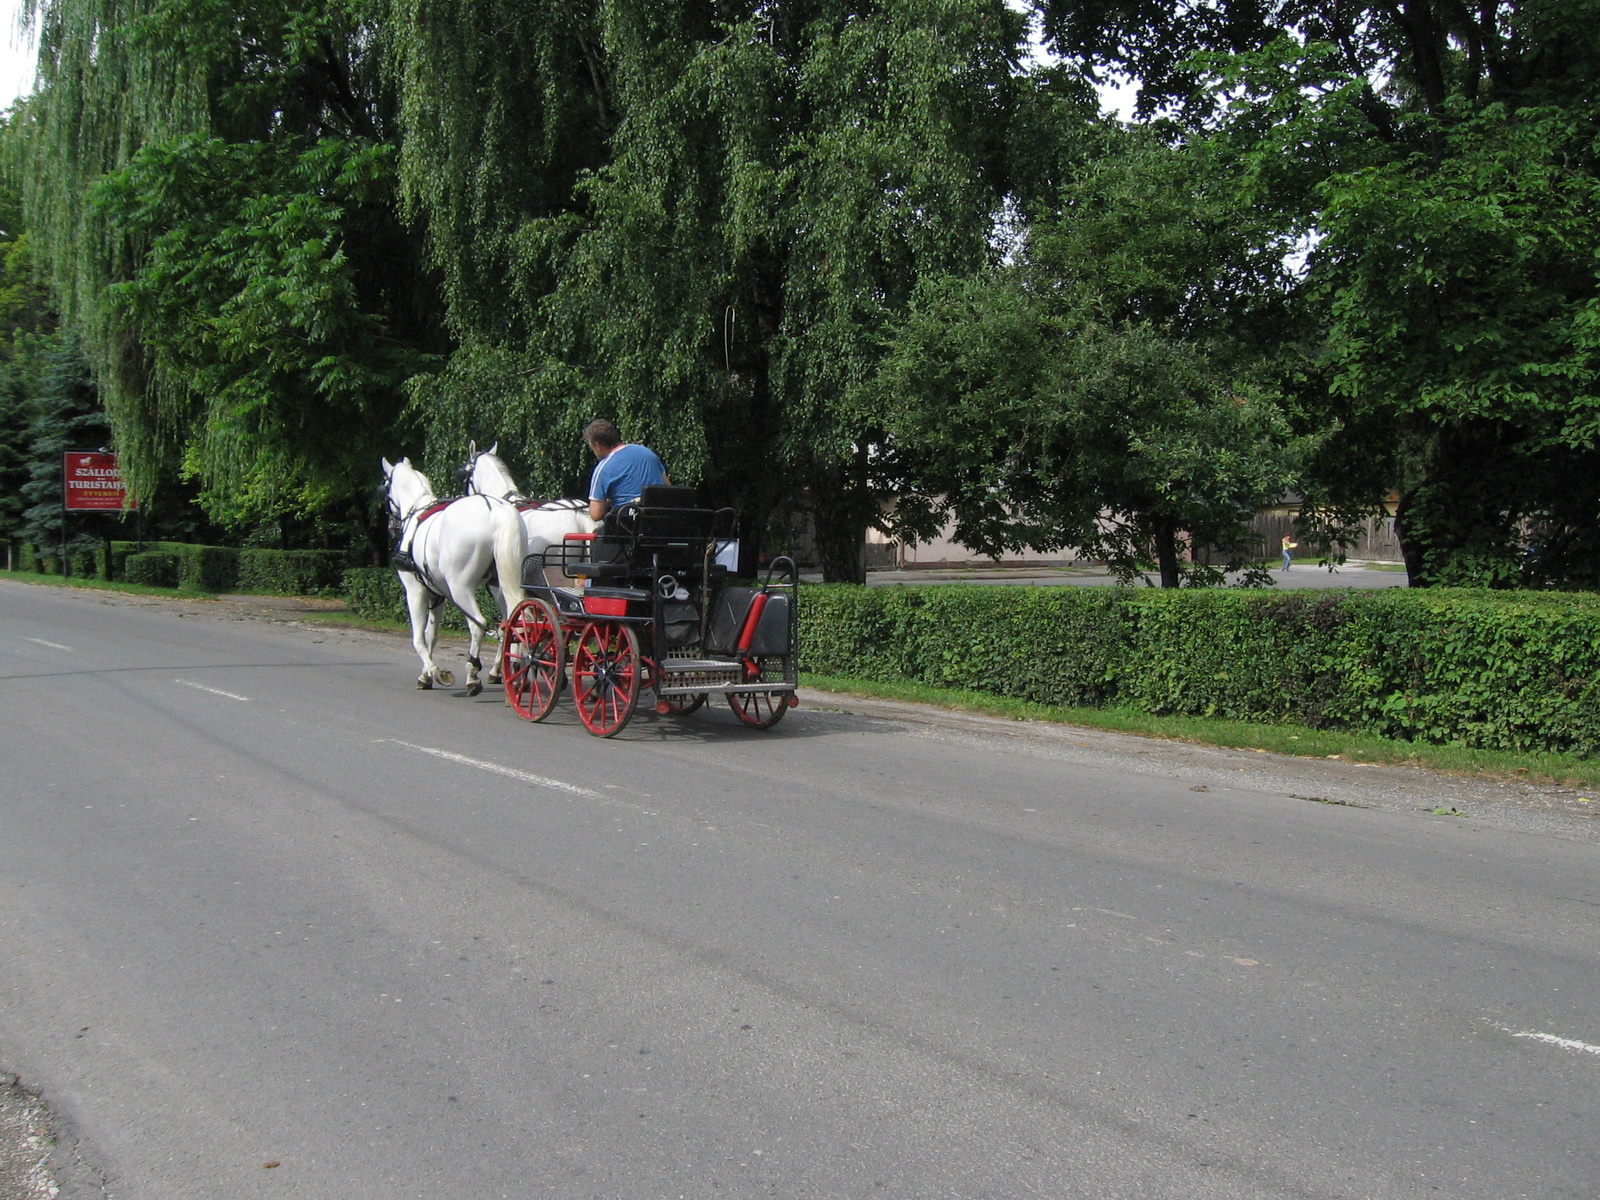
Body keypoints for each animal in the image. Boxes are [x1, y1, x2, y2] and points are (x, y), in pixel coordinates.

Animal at [379, 454, 524, 694]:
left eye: (385, 488)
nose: (391, 525)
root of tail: (495, 509)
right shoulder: (438, 595)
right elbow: (432, 636)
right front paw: (425, 675)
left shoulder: (415, 591)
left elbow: (419, 638)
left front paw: (435, 672)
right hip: (502, 584)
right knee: (516, 621)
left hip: (460, 589)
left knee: (478, 625)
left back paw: (474, 674)